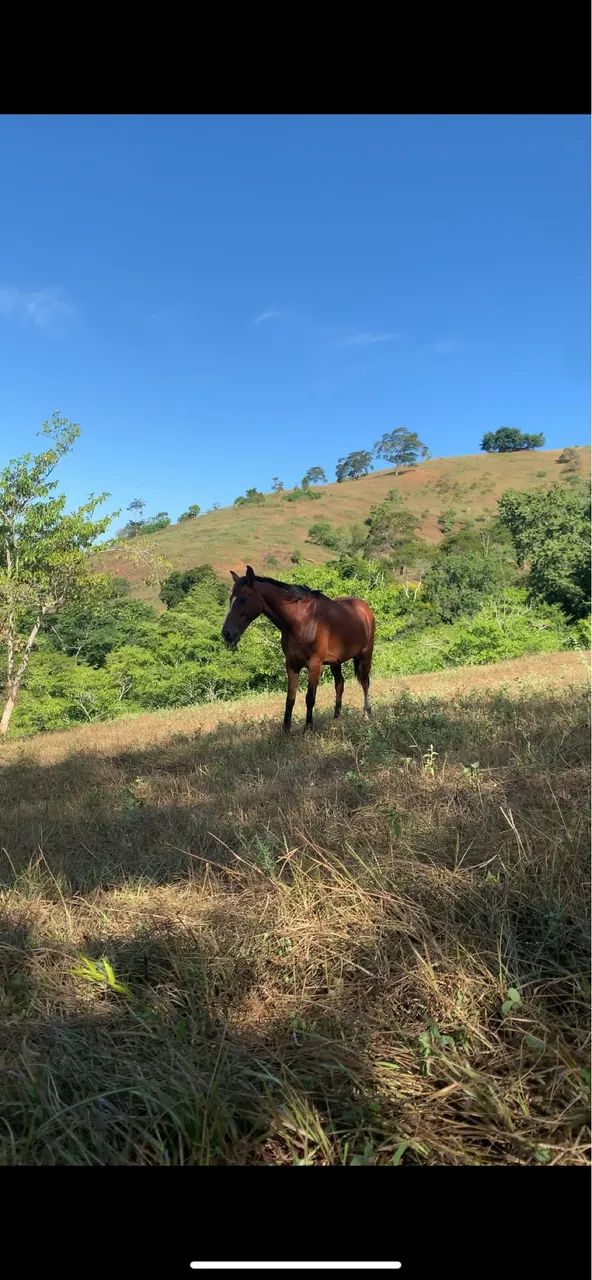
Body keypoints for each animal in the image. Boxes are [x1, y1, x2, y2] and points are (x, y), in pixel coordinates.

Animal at [221, 565, 375, 732]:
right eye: (230, 599)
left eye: (243, 599)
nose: (226, 633)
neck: (302, 621)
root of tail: (364, 608)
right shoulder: (291, 664)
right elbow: (290, 698)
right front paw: (286, 730)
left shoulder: (314, 665)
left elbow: (310, 698)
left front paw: (308, 728)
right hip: (336, 662)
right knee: (340, 684)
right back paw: (336, 718)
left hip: (365, 655)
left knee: (365, 682)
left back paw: (367, 714)